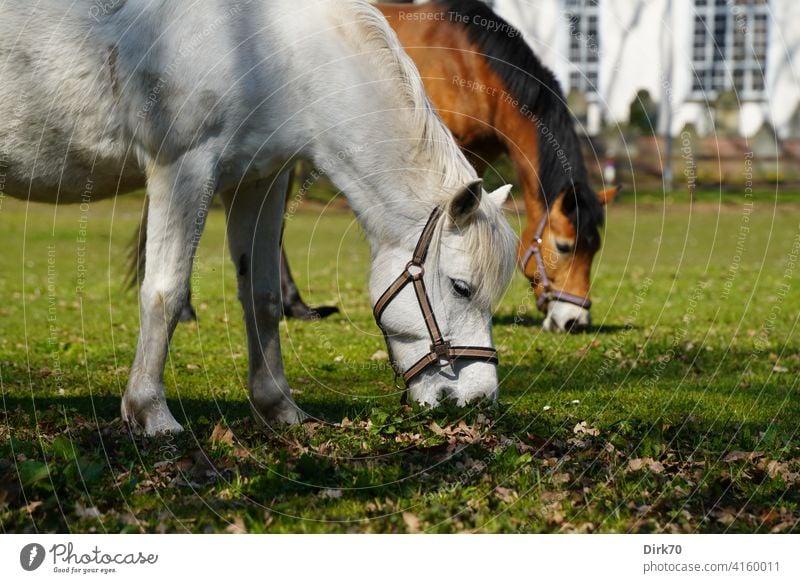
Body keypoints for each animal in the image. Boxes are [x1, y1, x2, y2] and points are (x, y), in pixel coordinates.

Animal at [0, 0, 516, 434]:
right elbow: (165, 293)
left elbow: (263, 298)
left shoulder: (259, 182)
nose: (477, 400)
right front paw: (150, 412)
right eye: (461, 287)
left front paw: (279, 408)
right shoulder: (183, 167)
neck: (269, 45)